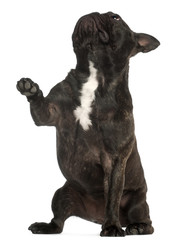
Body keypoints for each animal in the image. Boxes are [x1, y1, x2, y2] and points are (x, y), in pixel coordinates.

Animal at [16, 11, 160, 236]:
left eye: (116, 17)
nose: (95, 13)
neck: (95, 73)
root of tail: (95, 216)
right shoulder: (50, 112)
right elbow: (41, 109)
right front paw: (30, 89)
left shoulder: (114, 158)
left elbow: (113, 196)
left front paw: (112, 227)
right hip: (63, 193)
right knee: (58, 221)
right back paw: (45, 226)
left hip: (138, 201)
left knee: (146, 221)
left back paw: (135, 227)